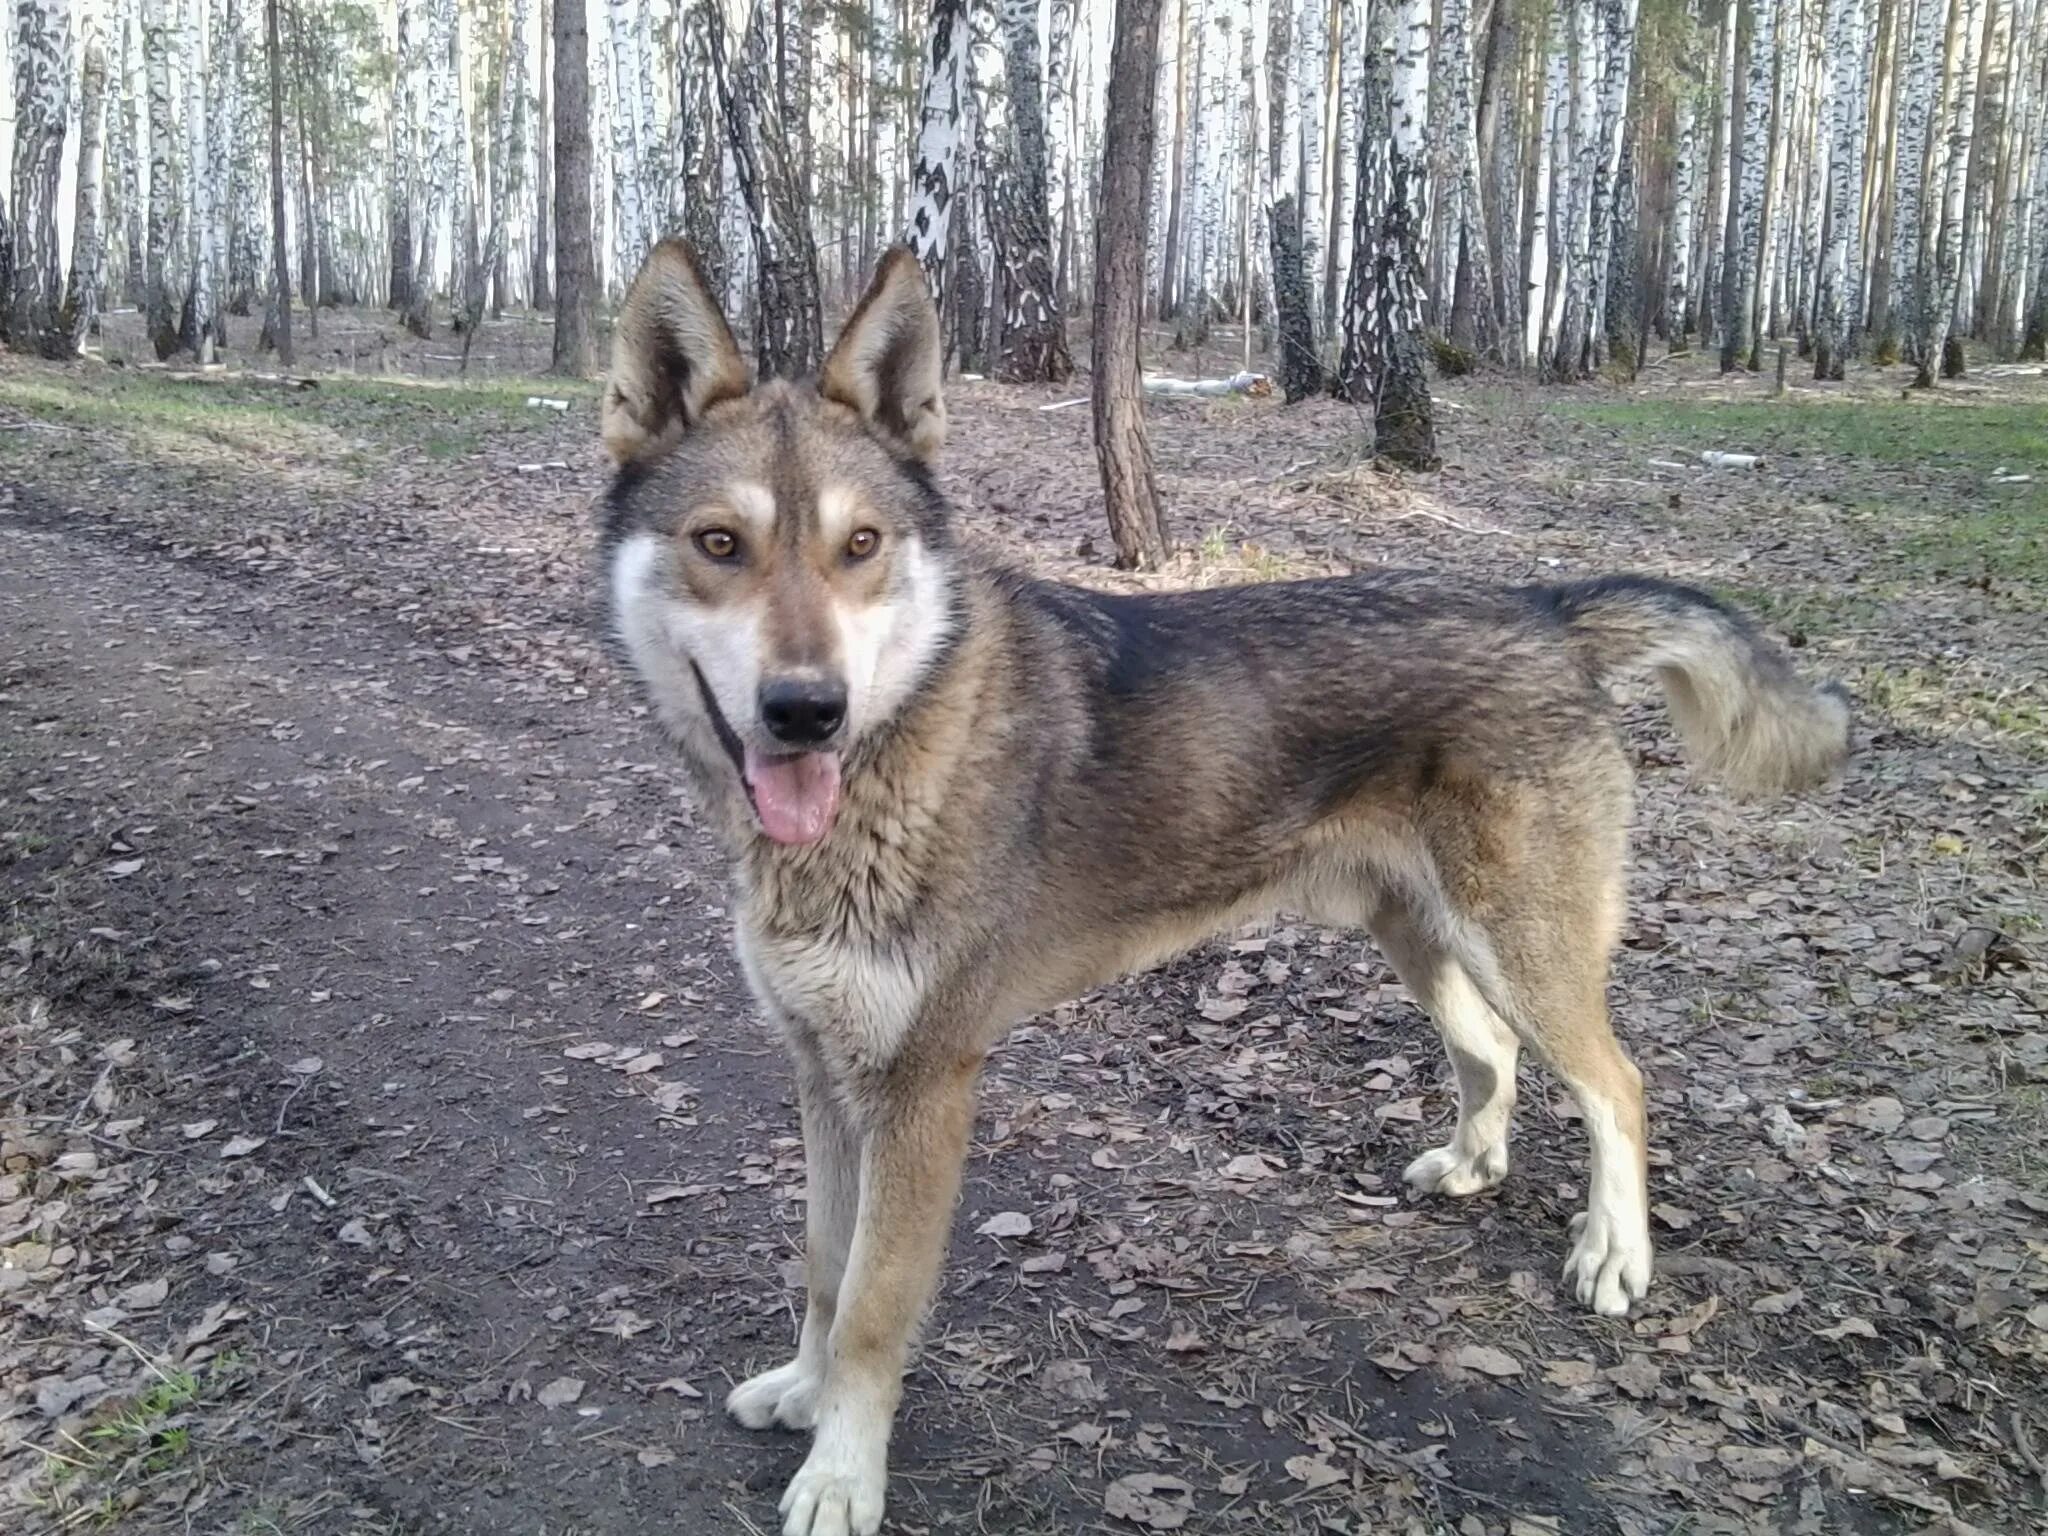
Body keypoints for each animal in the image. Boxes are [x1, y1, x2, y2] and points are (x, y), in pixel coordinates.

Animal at [598, 243, 1859, 1536]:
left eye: (859, 548)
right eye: (718, 545)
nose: (807, 710)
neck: (883, 769)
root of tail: (1544, 610)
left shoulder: (921, 1091)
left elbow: (868, 1309)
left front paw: (840, 1476)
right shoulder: (820, 1073)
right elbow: (818, 1268)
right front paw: (798, 1395)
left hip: (1519, 952)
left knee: (1617, 1087)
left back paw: (1613, 1258)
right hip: (1423, 944)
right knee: (1492, 1057)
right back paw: (1468, 1168)